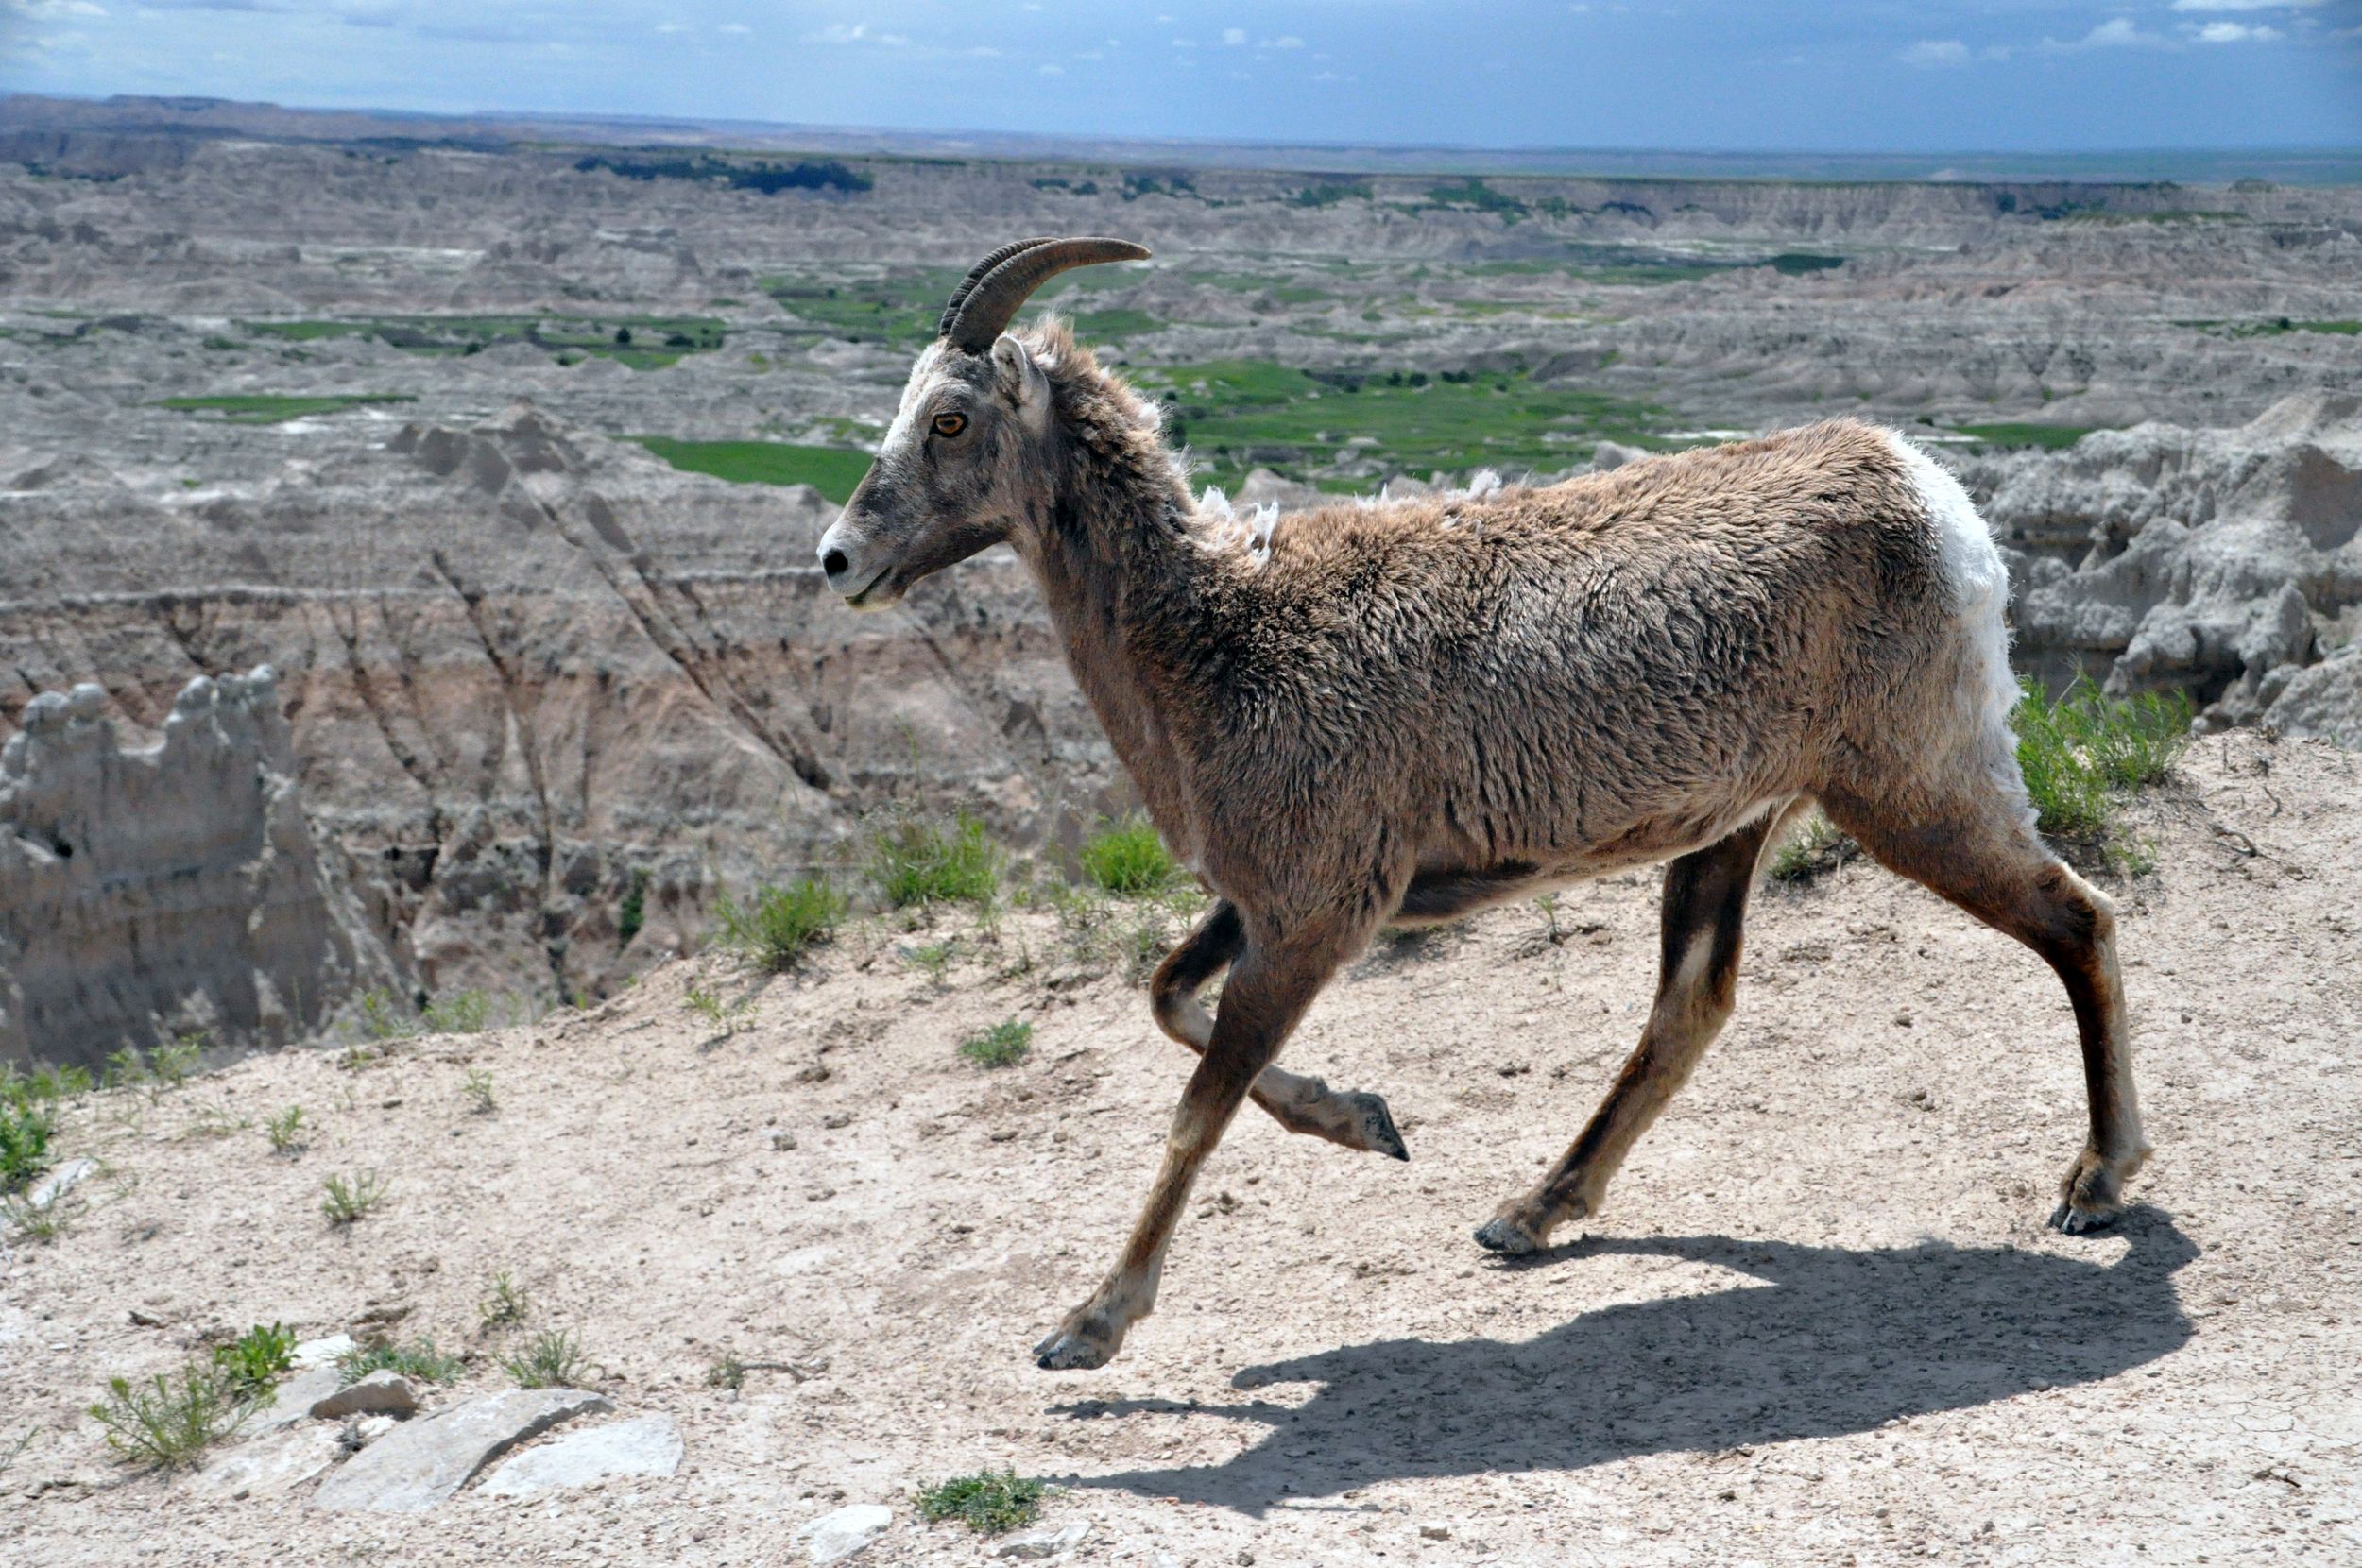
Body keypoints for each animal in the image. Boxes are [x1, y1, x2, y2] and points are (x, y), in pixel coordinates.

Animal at [816, 236, 2149, 1372]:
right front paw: (1369, 1121)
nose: (838, 560)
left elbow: (1197, 1108)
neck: (1218, 638)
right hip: (1734, 828)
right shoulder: (1263, 903)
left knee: (2075, 919)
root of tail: (1937, 505)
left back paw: (2094, 1183)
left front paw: (1087, 1327)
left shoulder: (1314, 913)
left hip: (1912, 788)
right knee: (1692, 1004)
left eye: (948, 418)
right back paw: (1527, 1212)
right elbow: (1164, 1000)